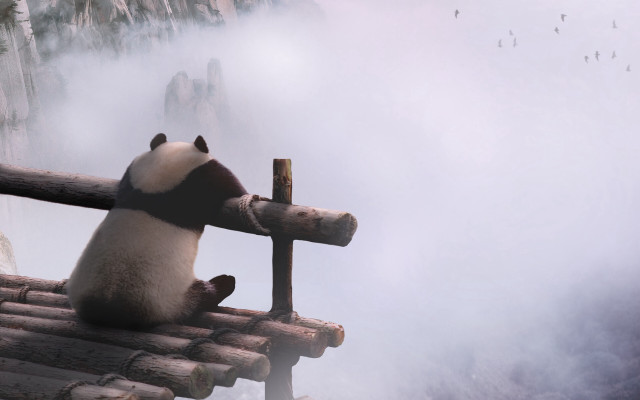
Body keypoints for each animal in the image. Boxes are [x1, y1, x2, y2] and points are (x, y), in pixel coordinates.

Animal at [67, 134, 247, 328]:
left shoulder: (133, 174)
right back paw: (224, 282)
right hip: (167, 298)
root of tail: (107, 310)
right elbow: (232, 186)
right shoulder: (203, 179)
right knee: (201, 295)